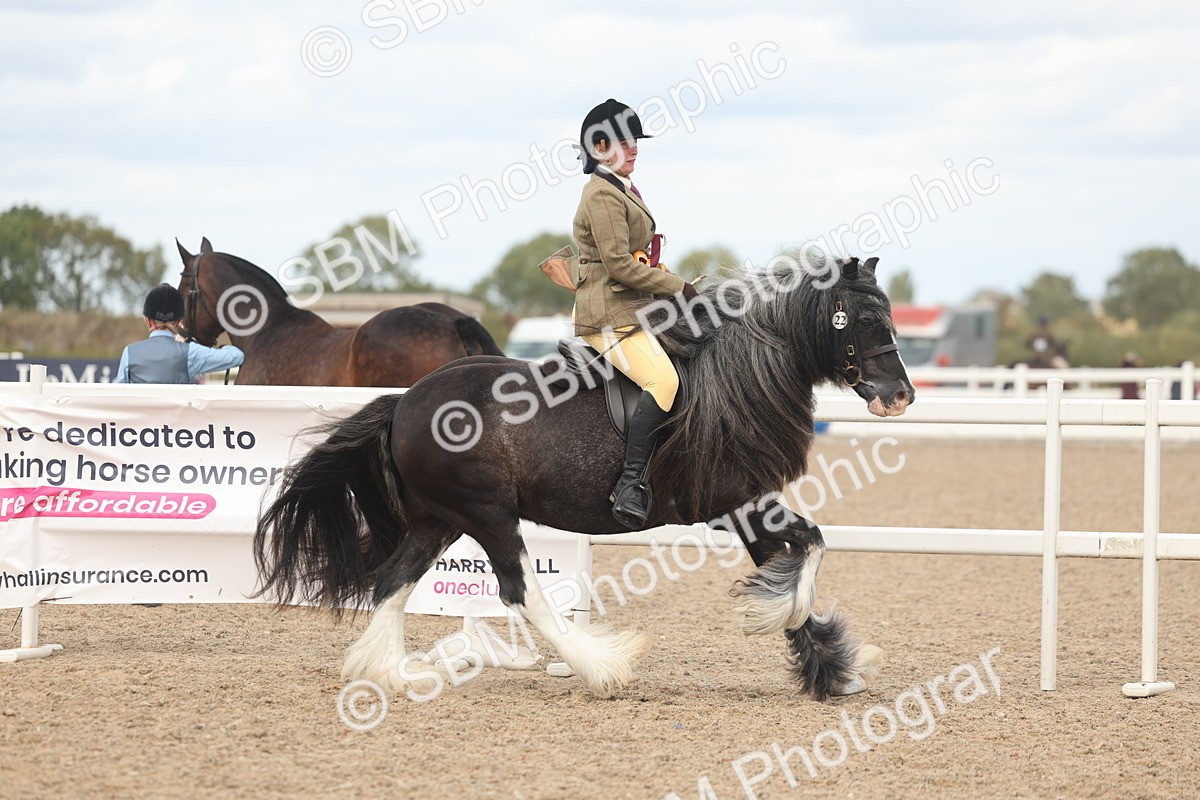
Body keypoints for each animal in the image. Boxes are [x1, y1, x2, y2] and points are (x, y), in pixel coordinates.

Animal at [253, 256, 915, 701]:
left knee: (394, 579)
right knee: (519, 592)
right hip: (487, 514)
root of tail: (406, 402)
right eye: (863, 317)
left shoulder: (748, 504)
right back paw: (603, 665)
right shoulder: (736, 503)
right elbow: (808, 549)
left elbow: (796, 555)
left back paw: (392, 673)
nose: (900, 396)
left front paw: (828, 668)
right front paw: (781, 622)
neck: (733, 376)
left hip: (439, 518)